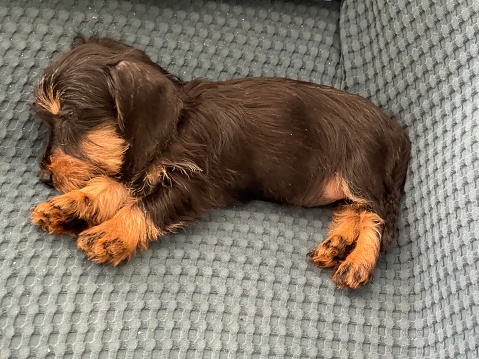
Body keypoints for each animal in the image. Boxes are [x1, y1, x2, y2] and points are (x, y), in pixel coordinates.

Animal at [31, 35, 412, 290]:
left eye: (69, 119)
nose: (45, 177)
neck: (176, 125)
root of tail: (395, 129)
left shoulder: (193, 183)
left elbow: (147, 206)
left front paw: (111, 233)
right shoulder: (138, 168)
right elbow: (106, 187)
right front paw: (67, 207)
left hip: (362, 173)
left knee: (375, 219)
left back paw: (358, 262)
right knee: (353, 212)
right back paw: (337, 244)